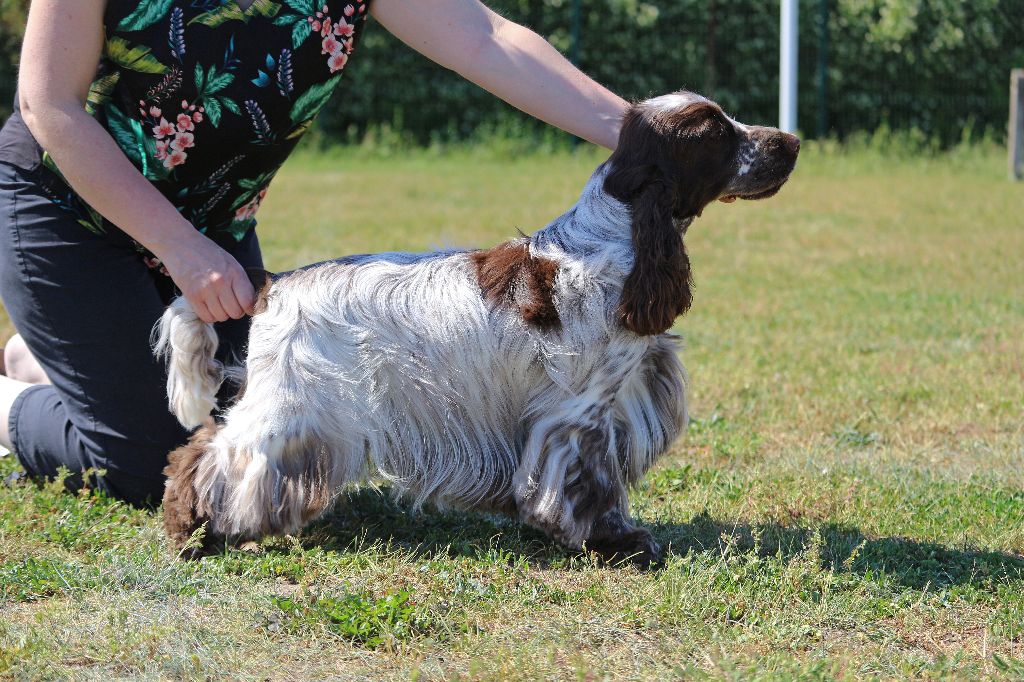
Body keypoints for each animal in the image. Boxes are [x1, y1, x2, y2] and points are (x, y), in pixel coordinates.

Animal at [153, 90, 798, 561]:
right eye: (716, 132)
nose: (790, 141)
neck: (616, 233)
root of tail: (273, 282)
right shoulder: (582, 411)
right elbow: (588, 481)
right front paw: (614, 543)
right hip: (296, 407)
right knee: (213, 456)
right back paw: (192, 531)